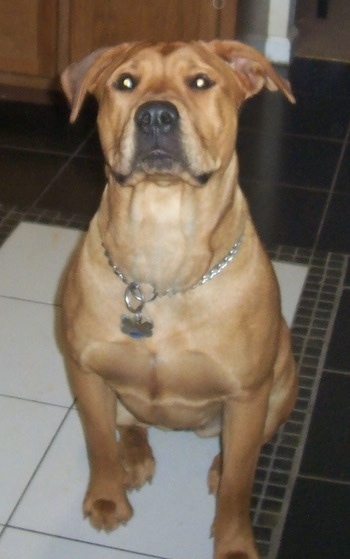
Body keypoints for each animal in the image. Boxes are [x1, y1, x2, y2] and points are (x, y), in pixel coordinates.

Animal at [60, 40, 296, 559]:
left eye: (201, 81)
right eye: (125, 82)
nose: (155, 116)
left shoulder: (248, 393)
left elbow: (239, 484)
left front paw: (234, 543)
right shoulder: (86, 372)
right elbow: (98, 443)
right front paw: (107, 498)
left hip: (282, 381)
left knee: (244, 452)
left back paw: (217, 467)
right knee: (129, 425)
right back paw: (134, 459)